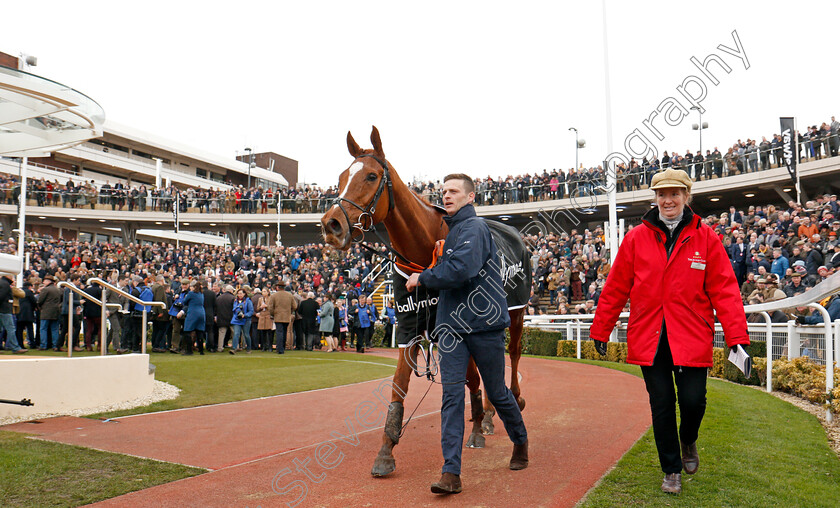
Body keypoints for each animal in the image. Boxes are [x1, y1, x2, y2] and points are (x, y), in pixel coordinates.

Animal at [322, 127, 524, 476]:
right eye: (342, 176)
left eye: (371, 176)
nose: (331, 225)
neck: (425, 246)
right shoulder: (408, 325)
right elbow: (399, 386)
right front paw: (386, 450)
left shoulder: (455, 326)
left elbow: (470, 376)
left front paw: (473, 429)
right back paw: (487, 415)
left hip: (517, 313)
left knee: (511, 354)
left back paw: (510, 402)